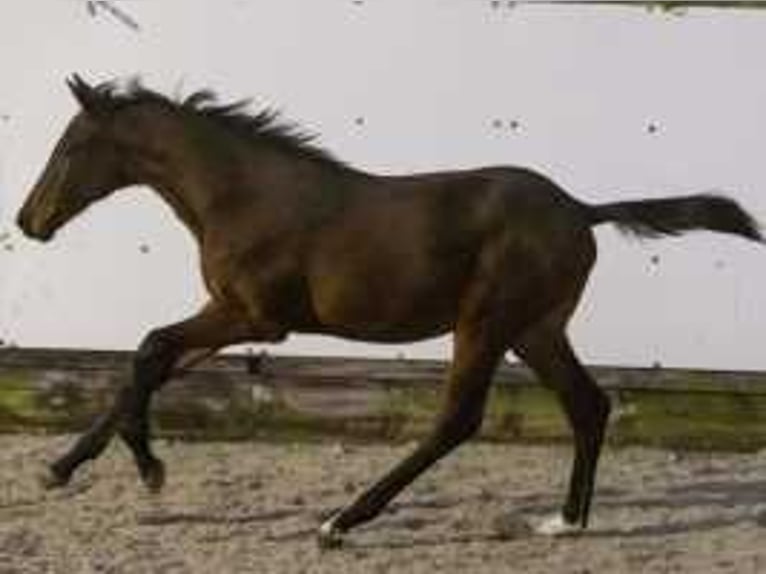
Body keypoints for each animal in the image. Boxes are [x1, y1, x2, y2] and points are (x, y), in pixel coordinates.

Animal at [15, 76, 764, 548]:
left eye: (71, 147)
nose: (29, 221)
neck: (243, 195)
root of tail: (581, 209)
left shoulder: (256, 317)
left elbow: (149, 348)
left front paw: (149, 469)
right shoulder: (224, 309)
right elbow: (149, 361)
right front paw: (64, 469)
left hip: (486, 321)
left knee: (460, 419)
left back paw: (341, 523)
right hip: (536, 329)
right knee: (589, 405)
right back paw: (566, 523)